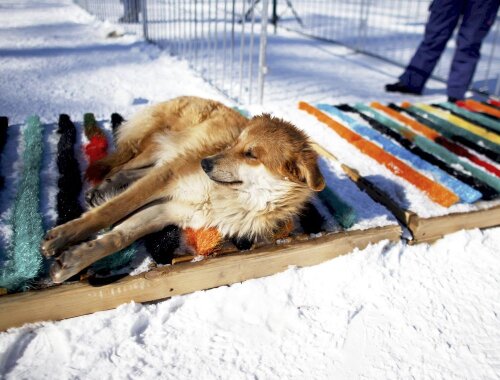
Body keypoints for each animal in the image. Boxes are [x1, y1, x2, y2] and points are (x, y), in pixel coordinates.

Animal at [42, 96, 324, 284]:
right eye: (235, 143)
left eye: (251, 154)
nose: (205, 163)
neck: (229, 196)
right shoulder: (166, 179)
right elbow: (111, 212)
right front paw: (62, 237)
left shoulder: (170, 210)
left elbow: (119, 237)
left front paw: (73, 260)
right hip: (161, 148)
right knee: (123, 167)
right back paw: (102, 188)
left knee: (130, 171)